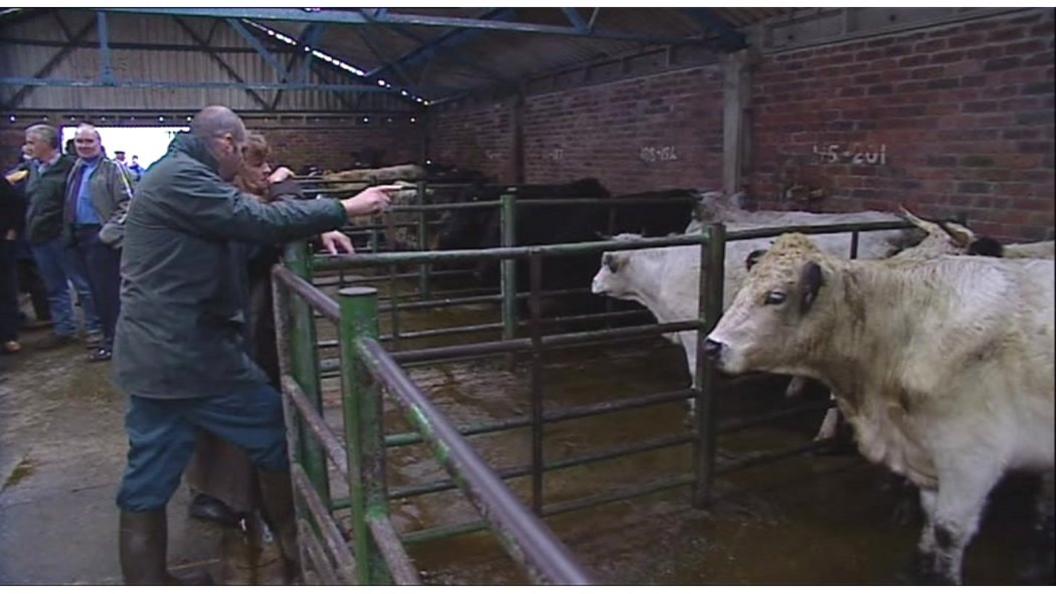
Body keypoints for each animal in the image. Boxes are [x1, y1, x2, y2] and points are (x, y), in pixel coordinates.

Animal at [701, 232, 1056, 583]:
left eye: (775, 297)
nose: (711, 346)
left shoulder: (972, 458)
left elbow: (948, 531)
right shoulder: (925, 453)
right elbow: (930, 519)